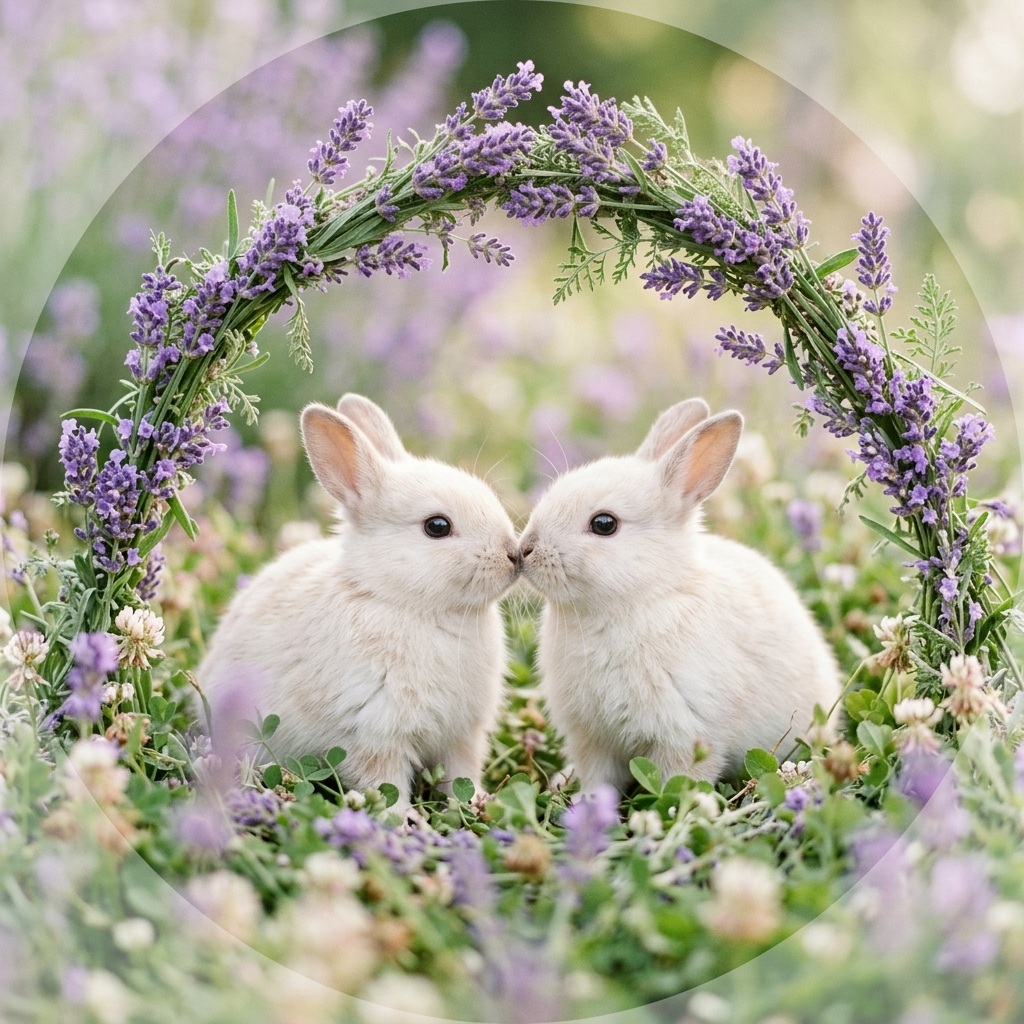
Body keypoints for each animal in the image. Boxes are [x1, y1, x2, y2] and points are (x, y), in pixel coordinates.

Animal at [198, 394, 521, 812]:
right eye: (437, 526)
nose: (514, 555)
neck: (409, 604)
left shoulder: (463, 735)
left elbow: (460, 776)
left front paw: (476, 803)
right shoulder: (376, 736)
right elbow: (387, 784)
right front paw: (402, 820)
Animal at [517, 397, 841, 796]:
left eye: (604, 524)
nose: (524, 550)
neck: (640, 598)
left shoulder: (686, 734)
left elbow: (677, 782)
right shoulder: (591, 739)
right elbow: (599, 778)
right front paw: (587, 802)